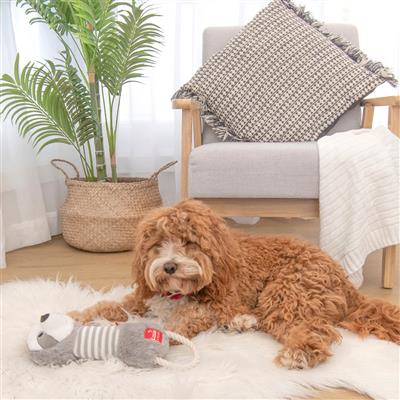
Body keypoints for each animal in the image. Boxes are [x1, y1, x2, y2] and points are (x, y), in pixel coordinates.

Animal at [70, 199, 400, 368]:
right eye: (158, 243)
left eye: (189, 242)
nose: (169, 266)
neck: (177, 293)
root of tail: (344, 279)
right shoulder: (141, 299)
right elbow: (105, 305)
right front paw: (75, 317)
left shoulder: (210, 306)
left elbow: (177, 325)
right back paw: (241, 323)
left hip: (286, 294)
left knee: (313, 328)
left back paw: (299, 352)